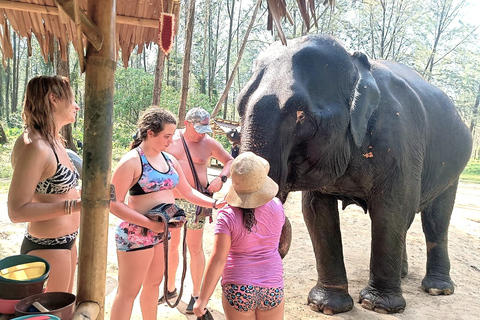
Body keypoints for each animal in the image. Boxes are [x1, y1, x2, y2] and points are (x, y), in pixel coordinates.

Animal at [236, 33, 472, 314]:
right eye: (239, 106)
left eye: (301, 113)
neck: (355, 65)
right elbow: (316, 213)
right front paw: (325, 306)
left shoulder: (400, 142)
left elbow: (390, 210)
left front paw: (378, 306)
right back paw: (403, 274)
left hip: (452, 169)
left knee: (435, 220)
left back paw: (438, 288)